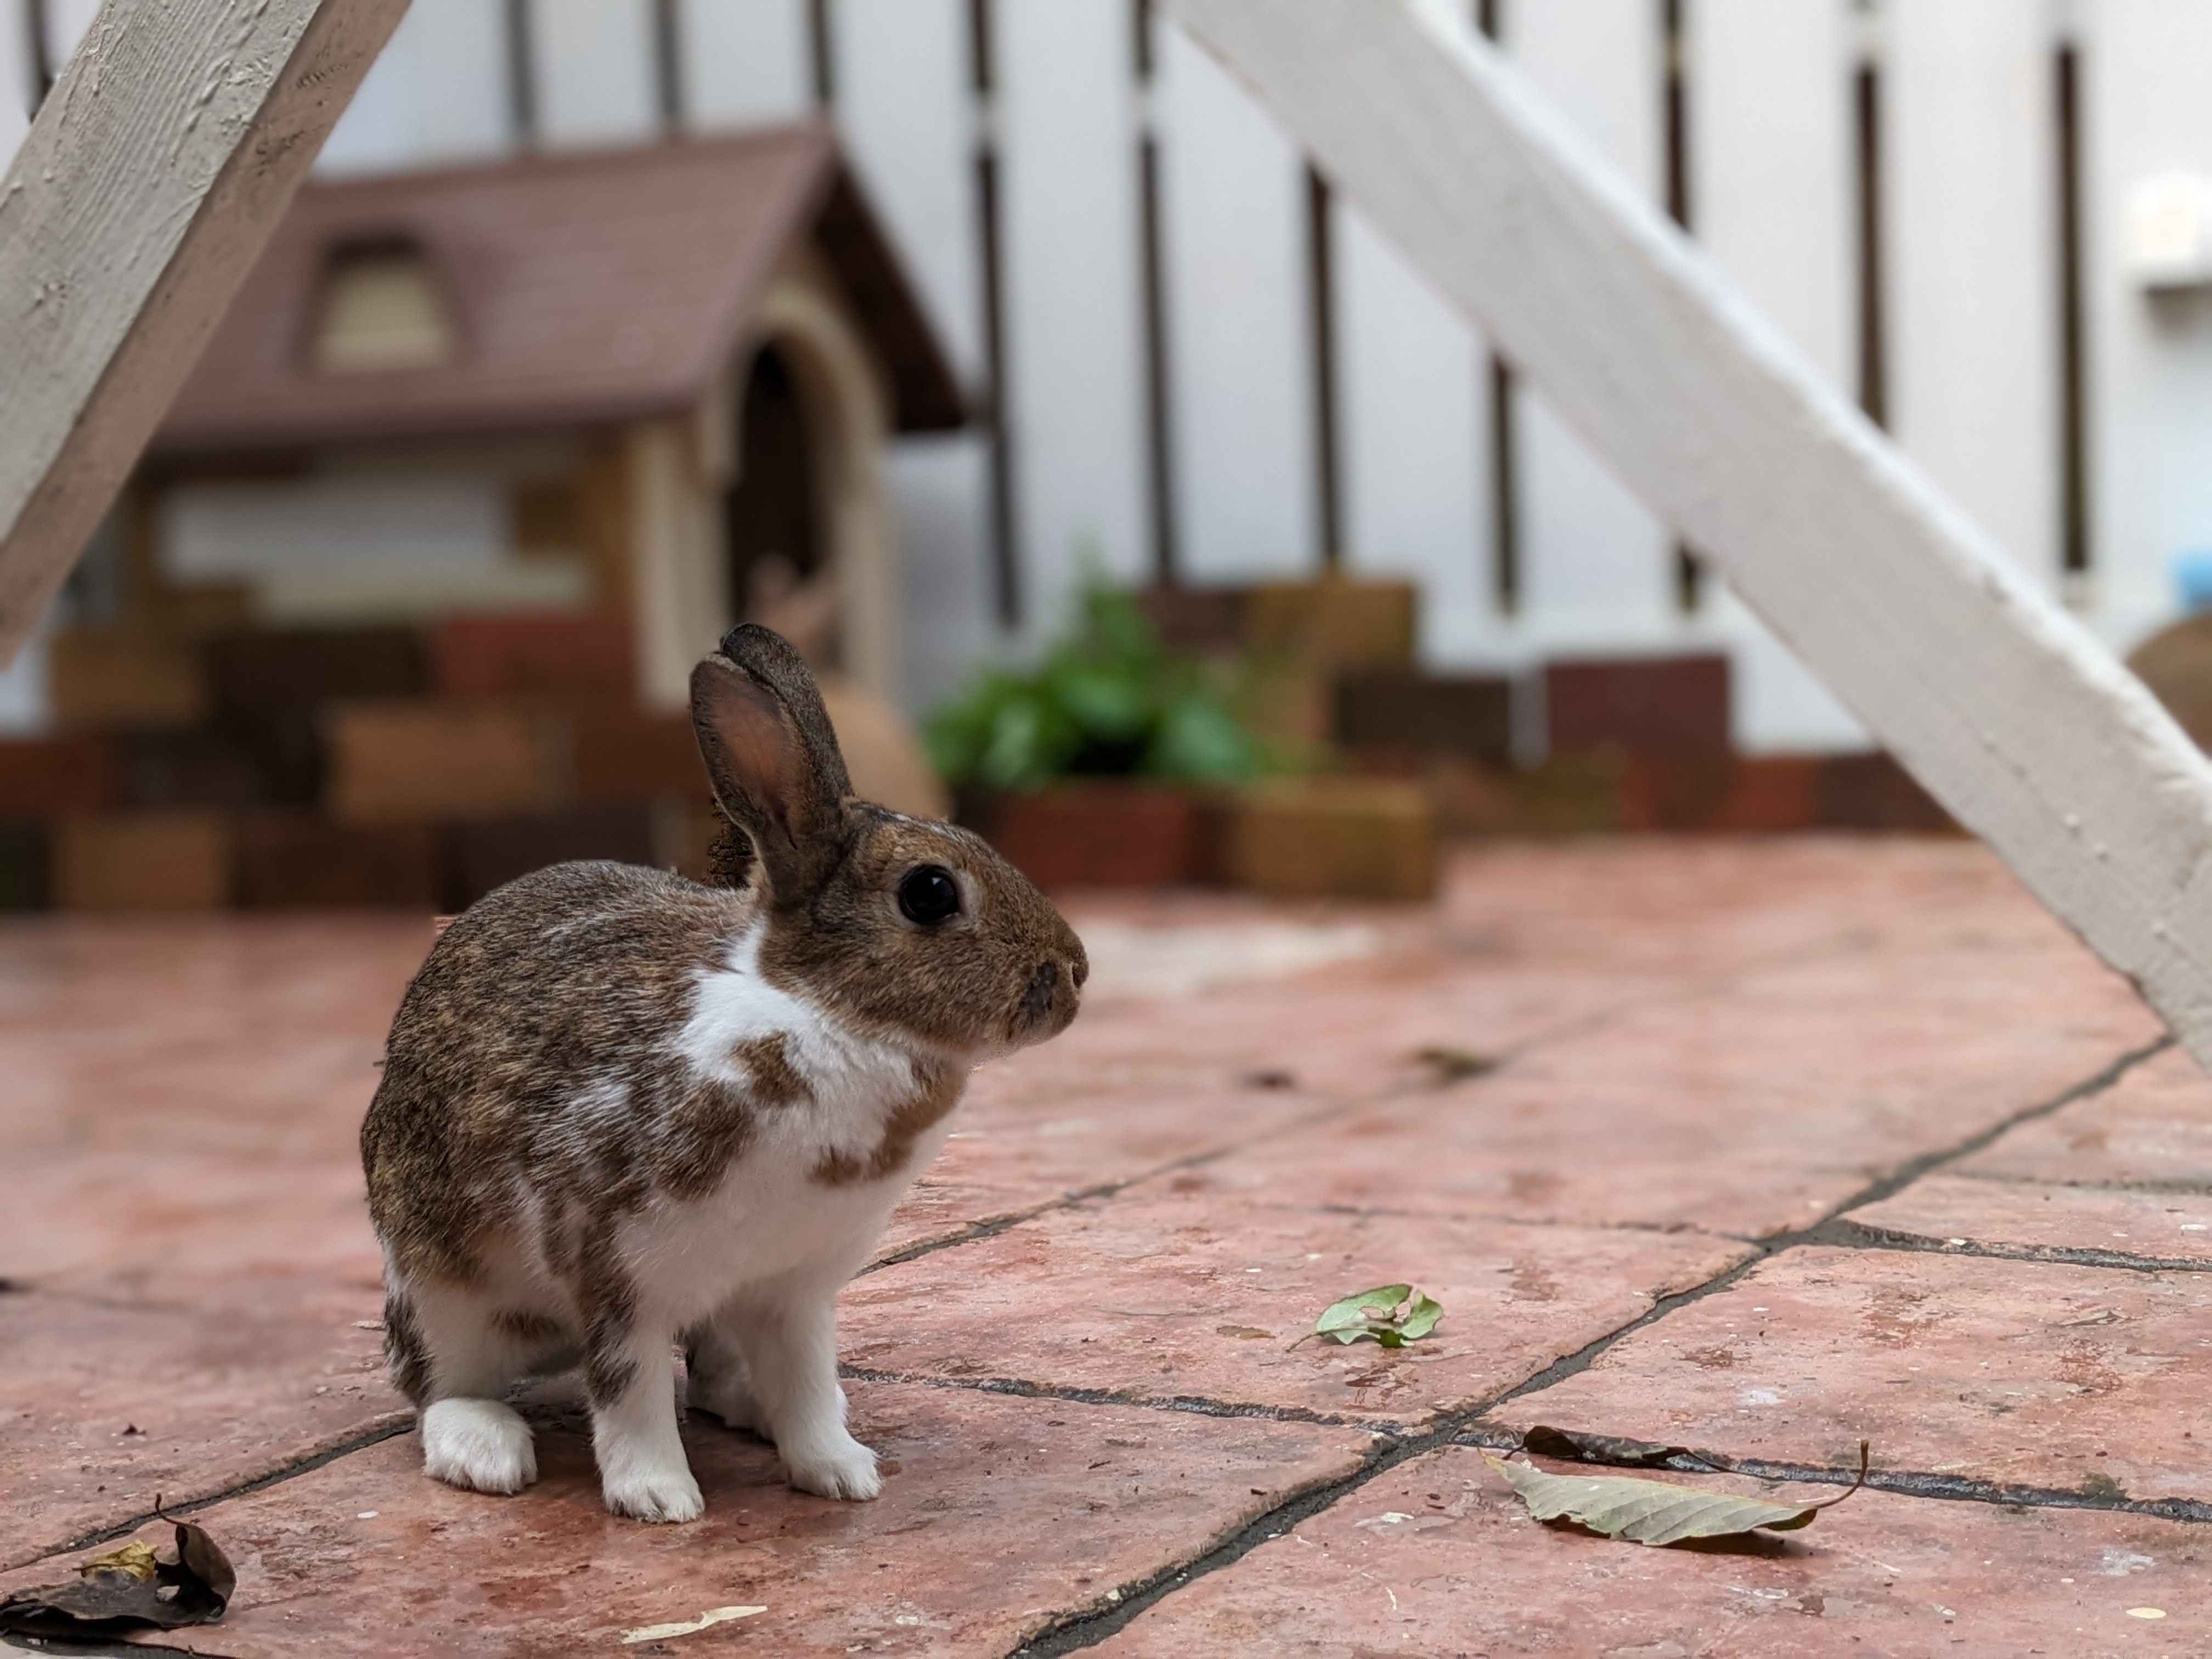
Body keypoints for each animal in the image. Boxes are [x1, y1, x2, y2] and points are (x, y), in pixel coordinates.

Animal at [360, 628, 1088, 1531]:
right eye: (929, 892)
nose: (1075, 974)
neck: (819, 1009)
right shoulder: (617, 1270)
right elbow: (631, 1391)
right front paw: (659, 1498)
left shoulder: (796, 1292)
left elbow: (808, 1385)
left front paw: (841, 1471)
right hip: (443, 1291)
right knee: (435, 1386)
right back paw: (485, 1449)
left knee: (713, 1375)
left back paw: (756, 1407)